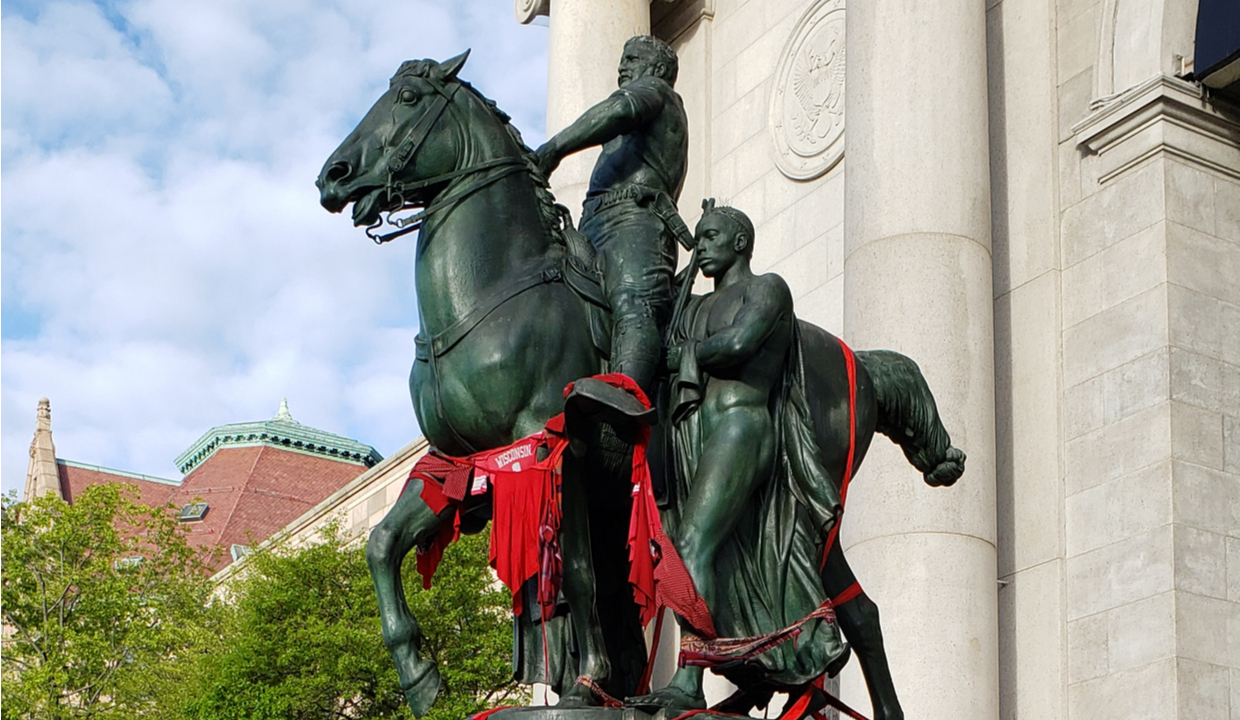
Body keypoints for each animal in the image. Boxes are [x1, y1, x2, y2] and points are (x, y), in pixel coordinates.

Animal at [314, 53, 962, 718]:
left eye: (409, 98)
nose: (333, 176)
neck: (499, 290)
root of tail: (850, 354)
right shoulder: (461, 463)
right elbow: (382, 544)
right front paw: (420, 674)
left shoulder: (556, 449)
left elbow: (578, 573)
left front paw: (584, 682)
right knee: (858, 611)